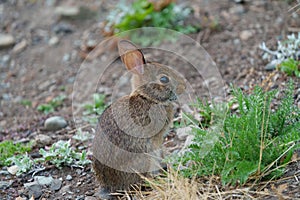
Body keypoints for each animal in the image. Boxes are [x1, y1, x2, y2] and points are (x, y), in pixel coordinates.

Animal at [92, 39, 185, 198]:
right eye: (164, 79)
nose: (183, 86)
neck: (147, 97)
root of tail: (110, 186)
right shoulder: (156, 139)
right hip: (144, 158)